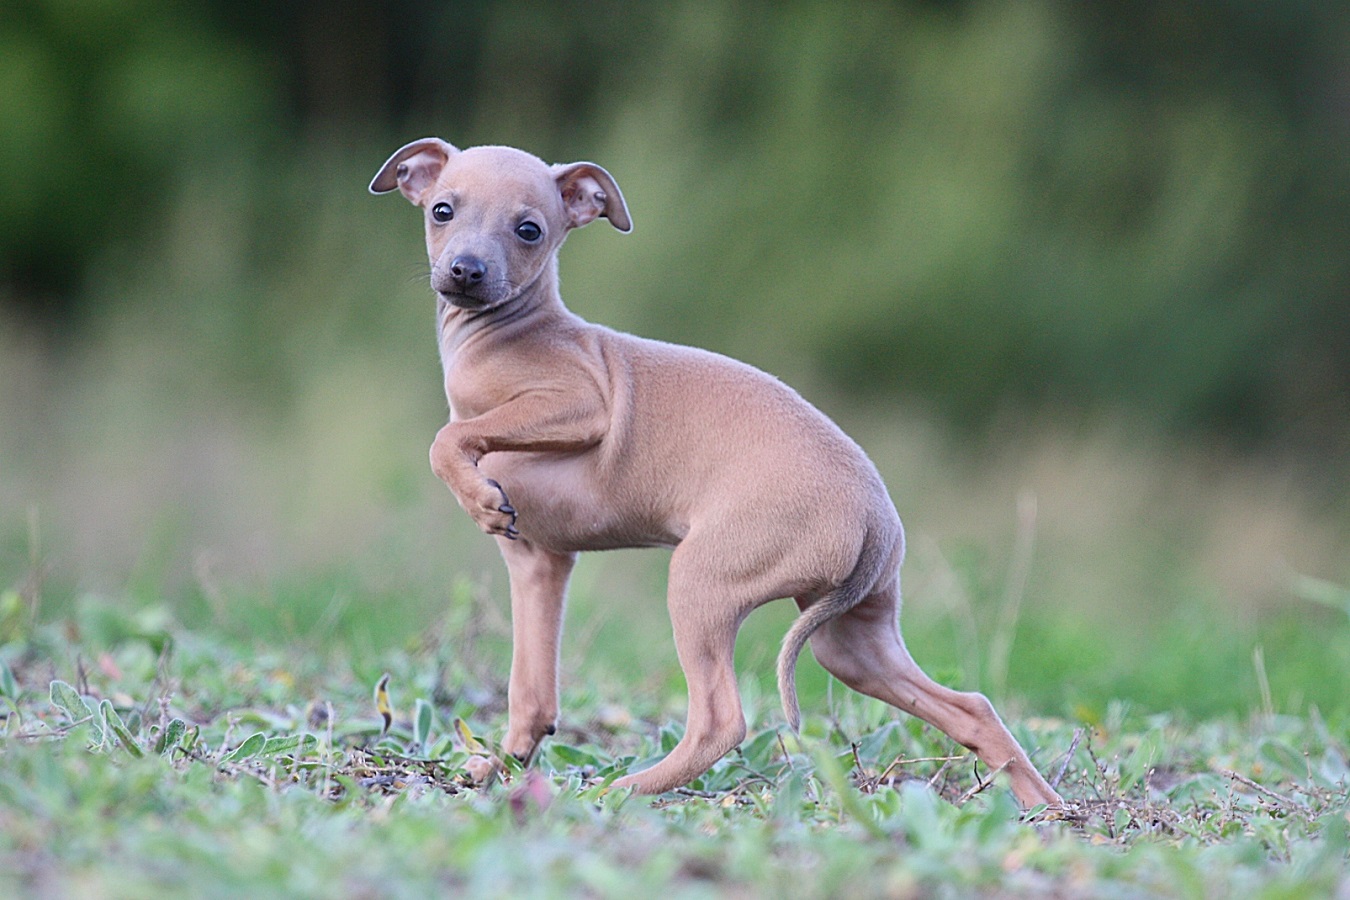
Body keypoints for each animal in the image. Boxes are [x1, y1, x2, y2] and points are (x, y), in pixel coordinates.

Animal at [369, 138, 1063, 809]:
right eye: (442, 211)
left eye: (530, 230)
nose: (466, 271)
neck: (505, 335)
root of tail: (876, 519)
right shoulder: (540, 564)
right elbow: (532, 696)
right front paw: (494, 768)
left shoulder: (583, 401)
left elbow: (445, 439)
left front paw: (477, 493)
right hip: (853, 642)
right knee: (969, 707)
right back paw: (1048, 808)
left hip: (701, 583)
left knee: (721, 720)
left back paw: (623, 790)